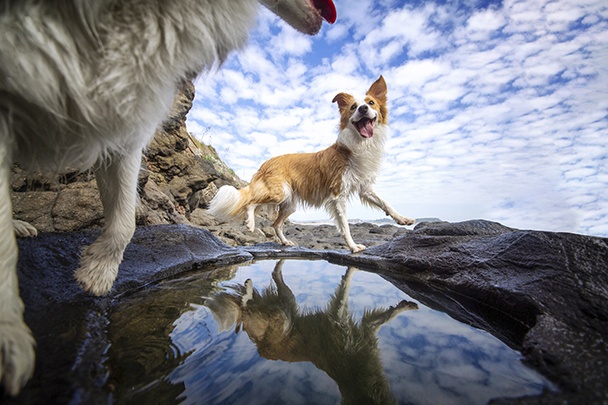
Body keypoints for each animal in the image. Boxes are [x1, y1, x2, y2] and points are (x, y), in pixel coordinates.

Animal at [0, 0, 338, 394]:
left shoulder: (125, 131)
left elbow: (125, 222)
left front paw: (98, 273)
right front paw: (10, 336)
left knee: (271, 220)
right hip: (281, 192)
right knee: (255, 206)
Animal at [208, 76, 414, 251]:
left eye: (370, 103)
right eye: (353, 107)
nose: (363, 109)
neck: (358, 145)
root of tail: (266, 163)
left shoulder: (365, 188)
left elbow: (385, 203)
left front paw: (402, 219)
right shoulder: (337, 195)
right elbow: (345, 225)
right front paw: (353, 246)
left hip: (289, 203)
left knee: (275, 223)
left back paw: (285, 242)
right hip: (279, 192)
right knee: (251, 201)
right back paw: (250, 223)